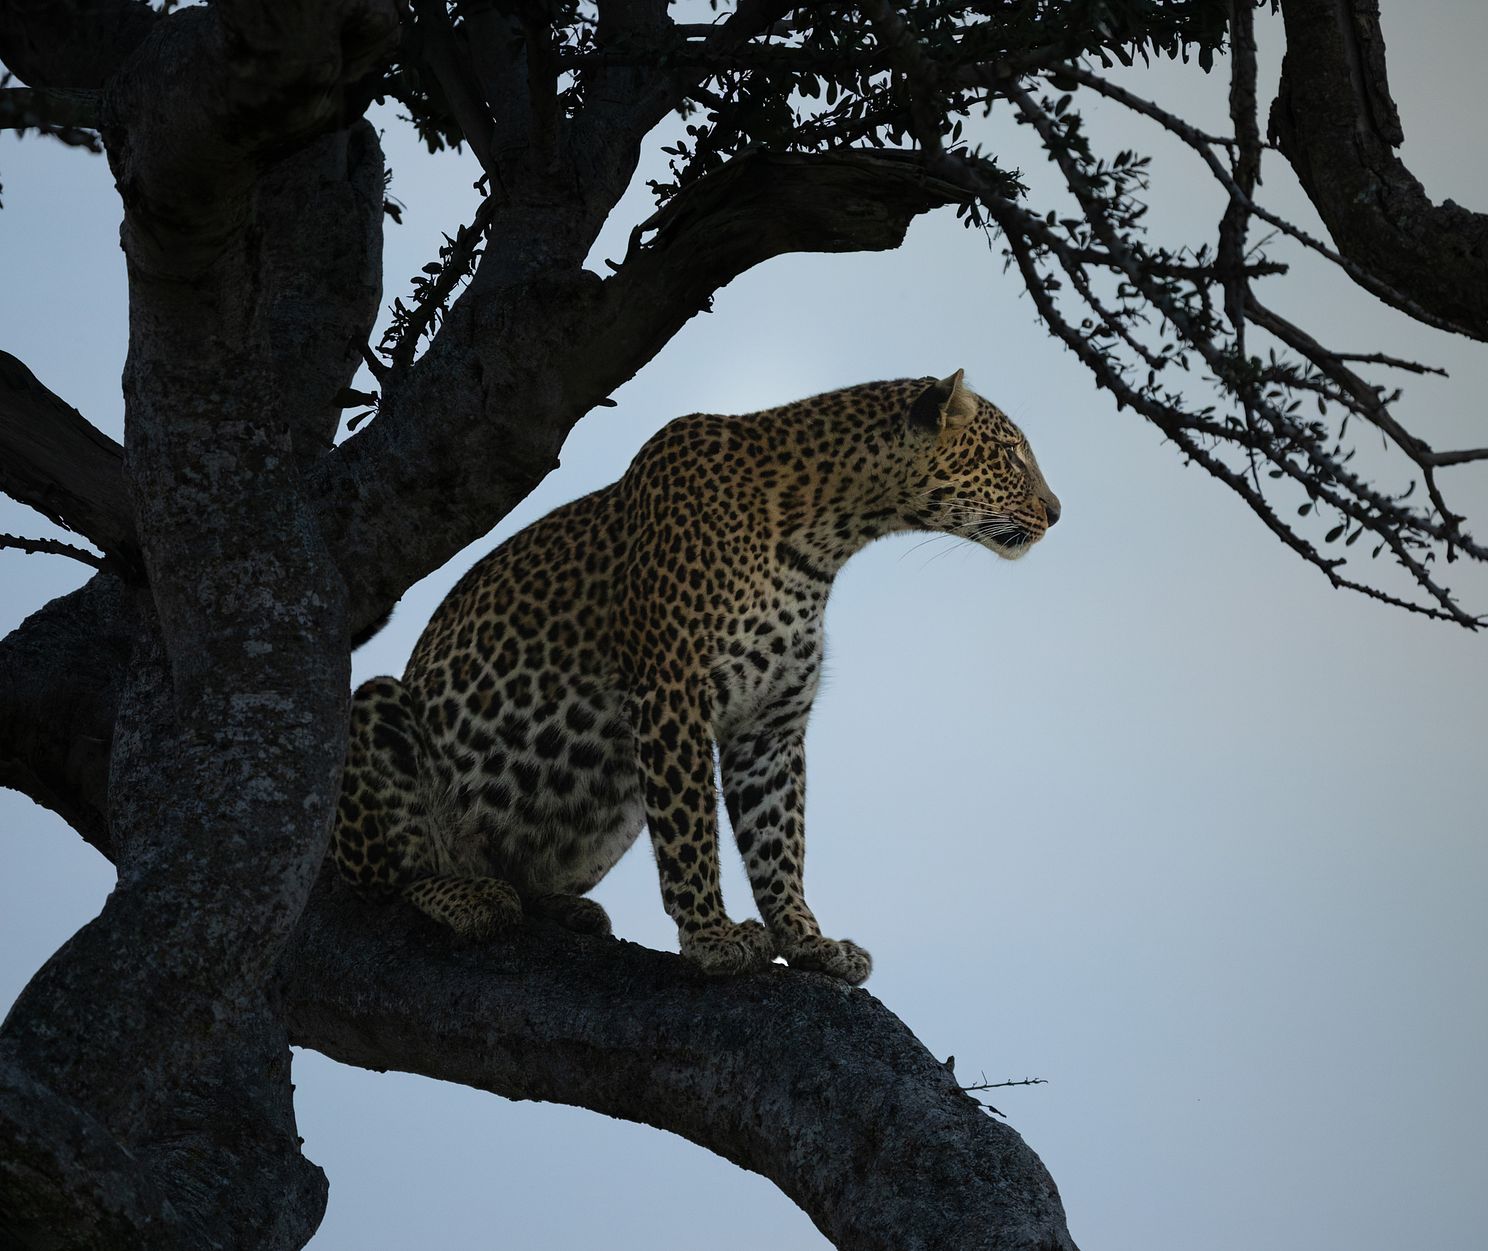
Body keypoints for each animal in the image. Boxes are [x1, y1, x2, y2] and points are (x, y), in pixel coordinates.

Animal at [332, 370, 1060, 985]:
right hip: (377, 713)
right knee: (378, 882)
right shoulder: (672, 692)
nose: (1057, 511)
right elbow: (690, 828)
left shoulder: (770, 726)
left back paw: (560, 906)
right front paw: (712, 936)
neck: (825, 537)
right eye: (1012, 454)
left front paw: (809, 941)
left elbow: (779, 840)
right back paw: (466, 893)